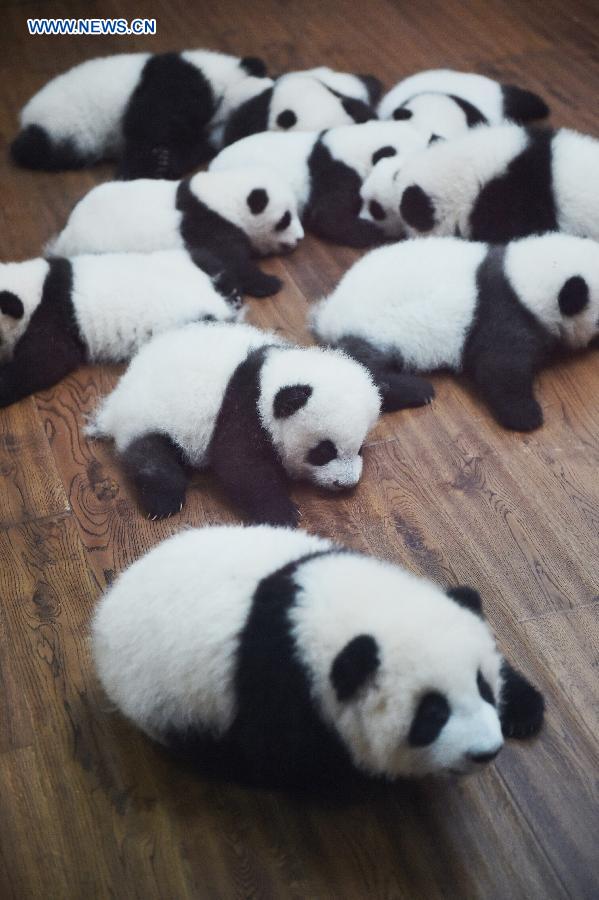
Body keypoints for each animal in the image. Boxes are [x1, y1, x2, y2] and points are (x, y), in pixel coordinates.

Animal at [11, 49, 267, 180]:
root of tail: (26, 114)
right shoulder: (178, 81)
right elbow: (148, 123)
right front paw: (141, 167)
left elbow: (190, 147)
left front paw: (165, 162)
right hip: (61, 122)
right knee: (33, 149)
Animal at [50, 167, 304, 299]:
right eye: (285, 219)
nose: (300, 238)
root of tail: (66, 236)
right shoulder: (208, 226)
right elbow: (232, 261)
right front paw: (270, 283)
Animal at [87, 321, 433, 524]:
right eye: (323, 452)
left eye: (359, 448)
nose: (346, 483)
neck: (270, 377)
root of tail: (115, 402)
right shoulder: (242, 411)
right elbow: (242, 466)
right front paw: (281, 513)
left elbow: (372, 373)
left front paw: (417, 389)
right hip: (148, 417)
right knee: (151, 456)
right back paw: (164, 500)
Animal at [92, 524, 545, 791]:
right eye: (432, 715)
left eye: (484, 687)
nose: (487, 751)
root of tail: (104, 612)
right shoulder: (278, 686)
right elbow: (289, 759)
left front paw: (524, 709)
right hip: (168, 702)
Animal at [312, 233, 599, 432]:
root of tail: (329, 314)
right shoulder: (500, 310)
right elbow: (498, 366)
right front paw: (525, 415)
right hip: (375, 329)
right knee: (364, 367)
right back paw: (417, 390)